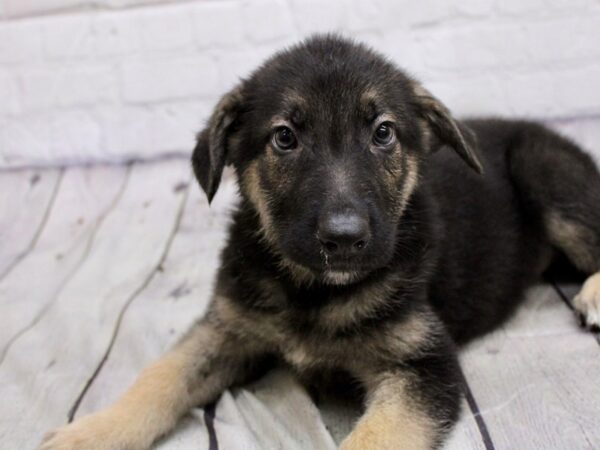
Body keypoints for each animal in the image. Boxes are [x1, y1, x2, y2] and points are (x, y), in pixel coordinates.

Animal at [41, 35, 600, 450]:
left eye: (383, 133)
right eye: (284, 138)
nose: (344, 239)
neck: (313, 291)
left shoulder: (423, 365)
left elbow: (376, 436)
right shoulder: (226, 326)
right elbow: (159, 377)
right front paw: (89, 432)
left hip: (541, 168)